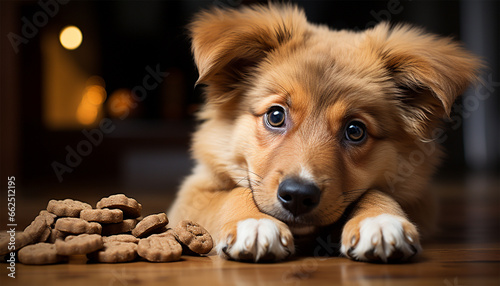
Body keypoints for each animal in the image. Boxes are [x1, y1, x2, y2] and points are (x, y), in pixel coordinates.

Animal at [168, 4, 480, 264]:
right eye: (276, 116)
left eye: (355, 131)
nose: (297, 196)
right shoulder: (192, 193)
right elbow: (236, 191)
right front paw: (254, 224)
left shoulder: (421, 200)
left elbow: (375, 190)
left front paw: (380, 220)